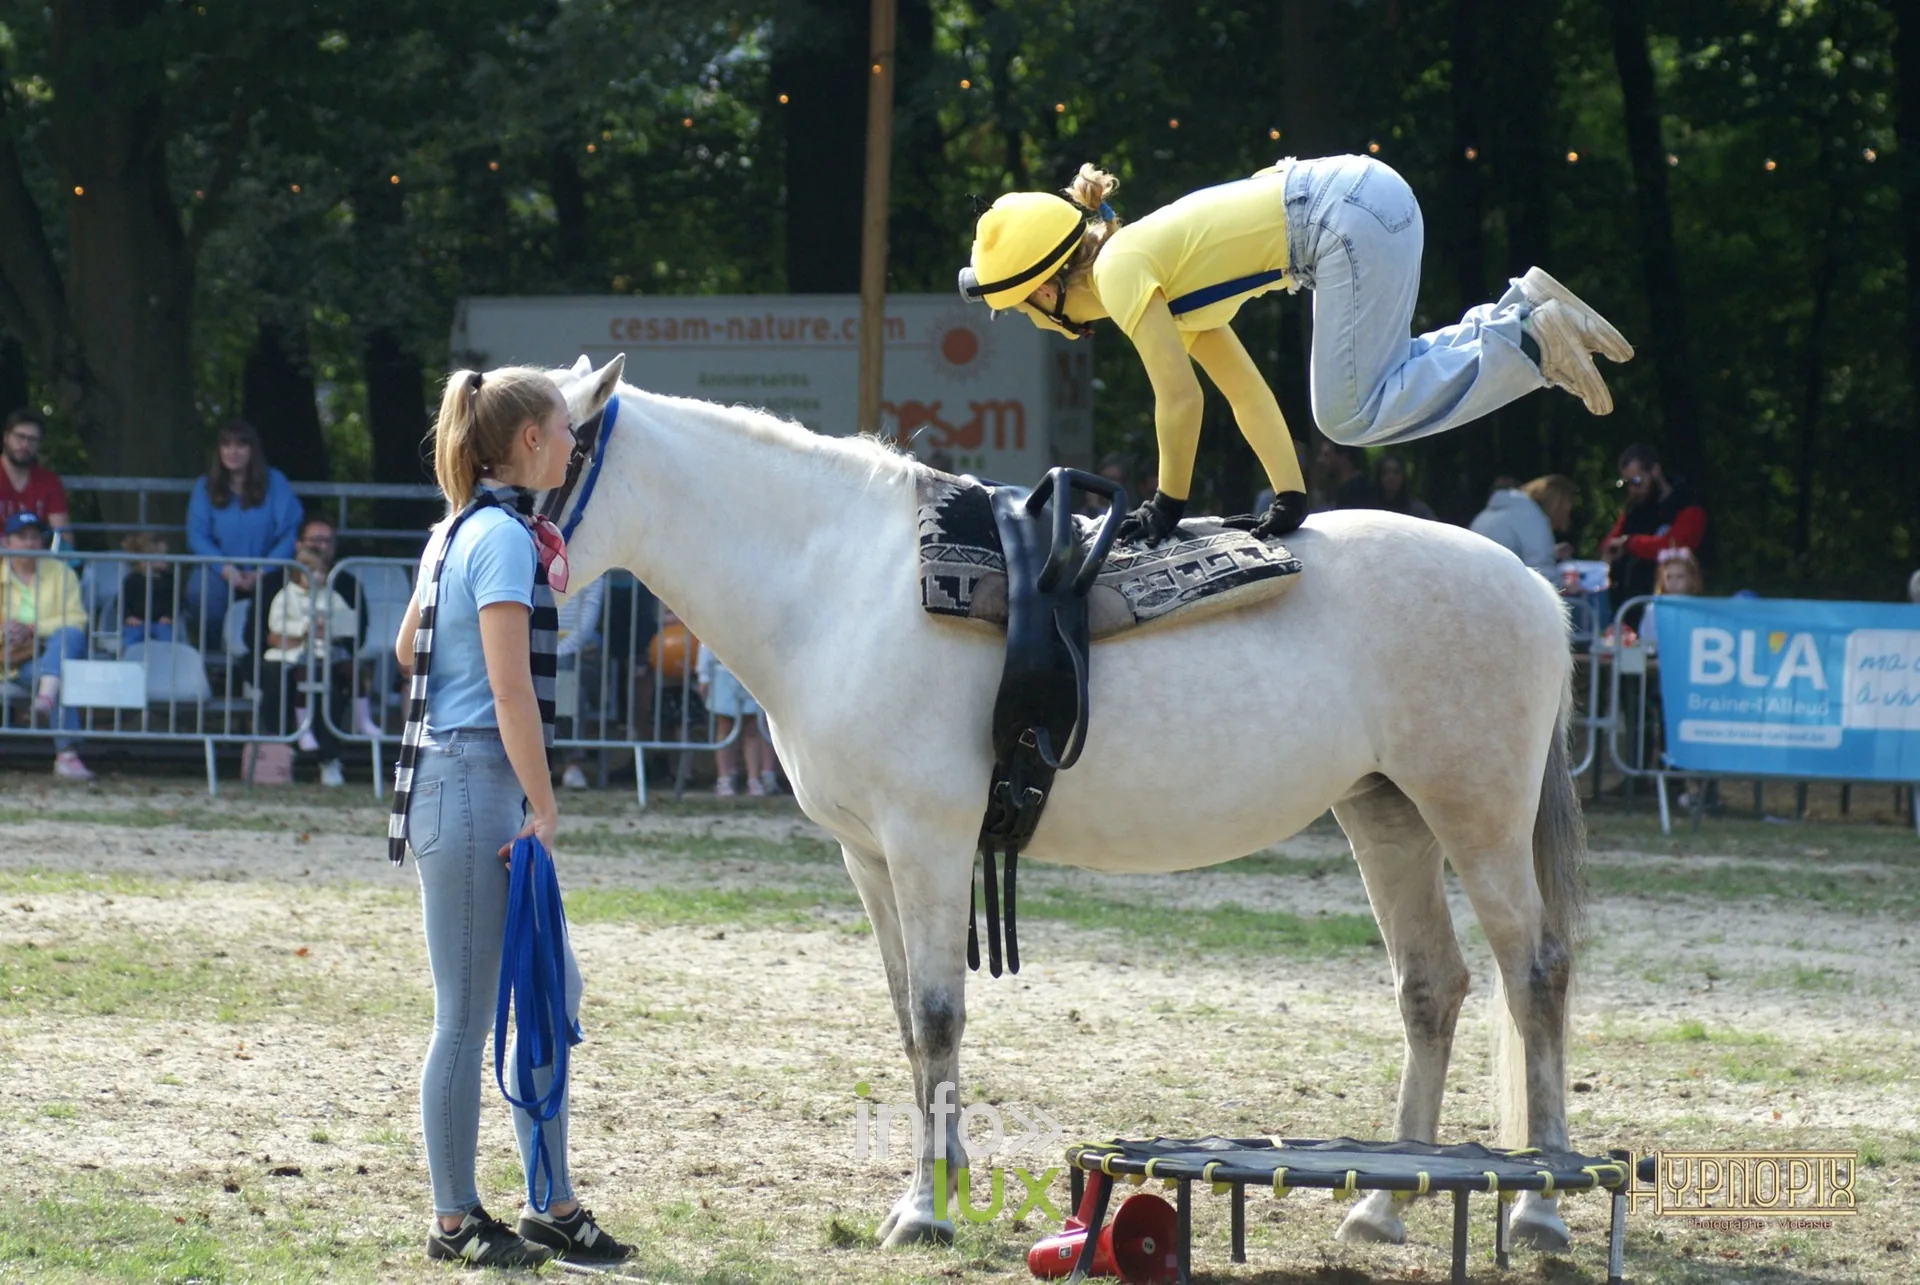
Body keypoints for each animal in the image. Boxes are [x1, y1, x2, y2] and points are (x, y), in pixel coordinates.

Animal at [547, 354, 1588, 1254]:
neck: (842, 585)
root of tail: (1535, 587)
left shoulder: (926, 843)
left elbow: (937, 1016)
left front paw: (925, 1209)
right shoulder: (870, 856)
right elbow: (908, 1017)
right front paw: (933, 1186)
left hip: (1478, 818)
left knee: (1534, 974)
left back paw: (1541, 1210)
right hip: (1388, 815)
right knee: (1432, 987)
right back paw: (1382, 1205)